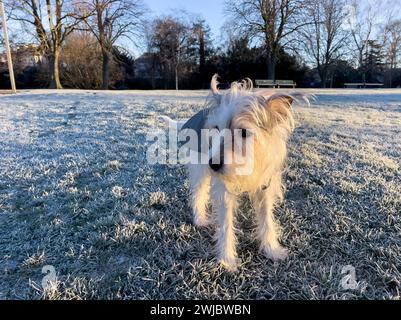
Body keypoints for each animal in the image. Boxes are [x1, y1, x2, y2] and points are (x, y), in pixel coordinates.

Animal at [180, 75, 300, 272]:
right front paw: (227, 259)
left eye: (243, 132)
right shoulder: (224, 191)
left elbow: (267, 219)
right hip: (200, 170)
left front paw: (271, 249)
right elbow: (226, 224)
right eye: (216, 128)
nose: (213, 164)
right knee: (198, 193)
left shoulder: (265, 187)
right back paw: (200, 219)